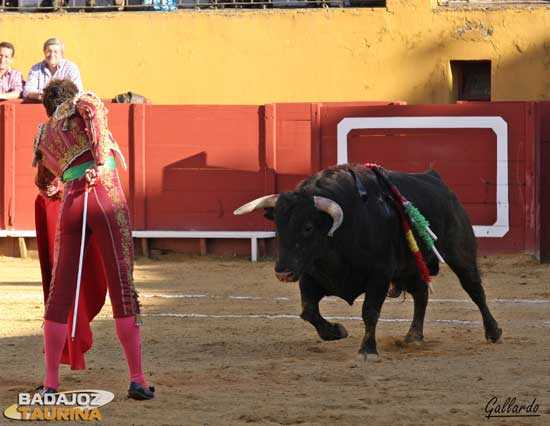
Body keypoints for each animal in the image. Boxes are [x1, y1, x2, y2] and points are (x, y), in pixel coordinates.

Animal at [235, 163, 502, 360]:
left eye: (308, 227)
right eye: (278, 227)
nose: (283, 272)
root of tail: (437, 180)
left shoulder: (379, 276)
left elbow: (369, 311)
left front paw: (368, 350)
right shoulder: (310, 275)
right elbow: (308, 311)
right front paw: (336, 331)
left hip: (460, 253)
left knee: (474, 289)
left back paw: (493, 332)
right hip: (411, 267)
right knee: (421, 295)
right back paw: (413, 336)